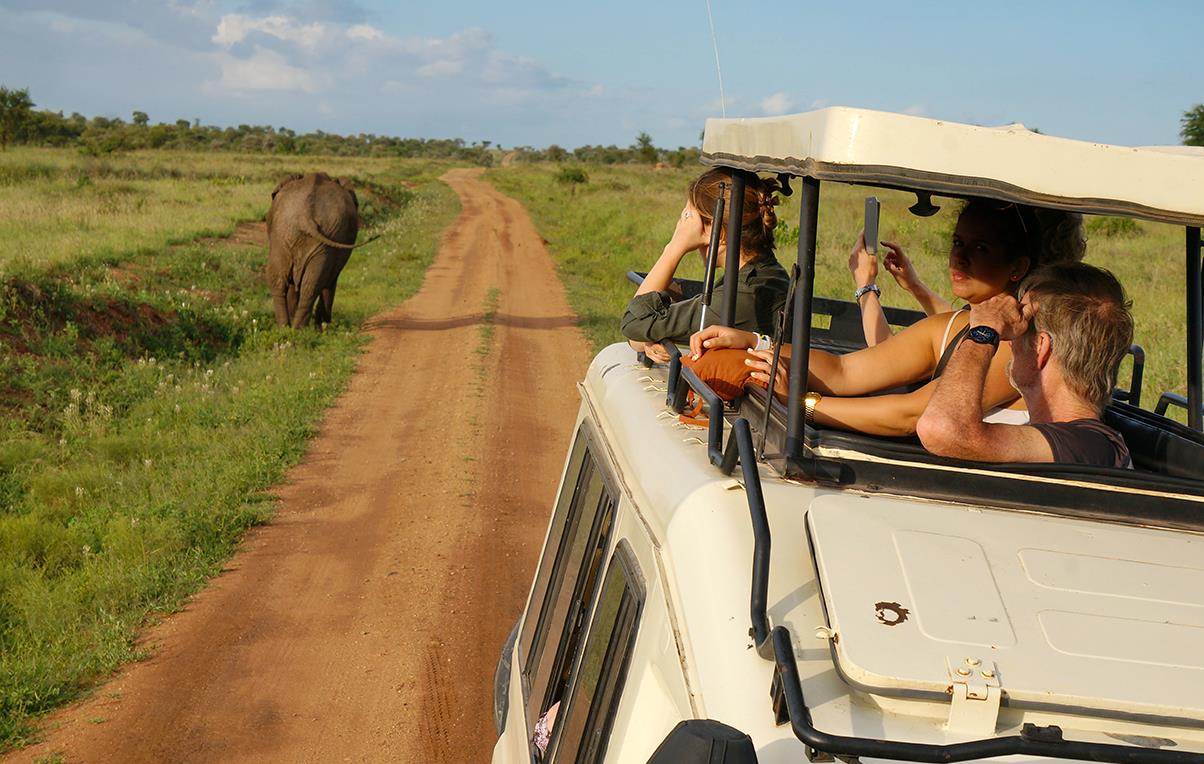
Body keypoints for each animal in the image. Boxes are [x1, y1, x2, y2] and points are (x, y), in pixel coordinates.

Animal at [266, 173, 373, 329]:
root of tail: (306, 215)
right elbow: (330, 282)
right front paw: (324, 326)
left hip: (285, 236)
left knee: (283, 281)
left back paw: (287, 329)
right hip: (308, 238)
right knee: (310, 285)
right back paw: (300, 329)